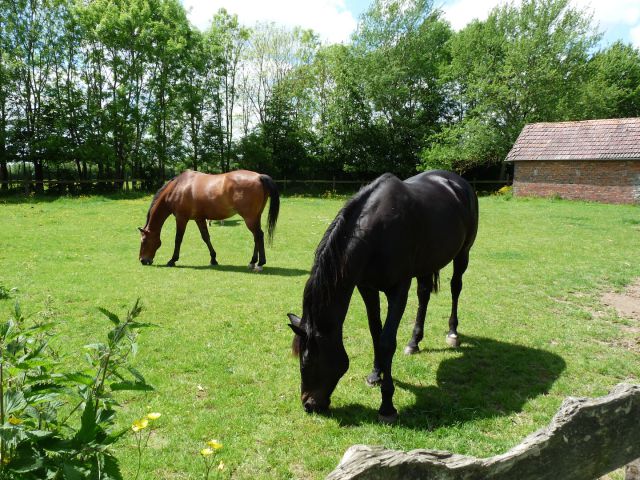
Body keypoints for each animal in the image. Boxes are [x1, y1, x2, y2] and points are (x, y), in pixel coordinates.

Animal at [139, 170, 278, 270]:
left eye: (144, 241)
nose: (143, 260)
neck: (178, 187)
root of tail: (259, 176)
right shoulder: (199, 219)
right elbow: (206, 237)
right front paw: (213, 259)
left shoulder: (181, 218)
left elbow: (178, 239)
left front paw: (172, 260)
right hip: (255, 217)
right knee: (256, 237)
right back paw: (252, 262)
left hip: (250, 218)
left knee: (259, 235)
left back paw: (259, 263)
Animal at [288, 171, 478, 422]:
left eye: (308, 360)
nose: (308, 404)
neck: (377, 234)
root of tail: (457, 182)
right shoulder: (366, 288)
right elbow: (375, 332)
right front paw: (375, 375)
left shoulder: (398, 290)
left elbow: (387, 341)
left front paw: (387, 405)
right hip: (426, 264)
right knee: (424, 296)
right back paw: (414, 342)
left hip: (463, 254)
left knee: (456, 287)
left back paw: (452, 332)